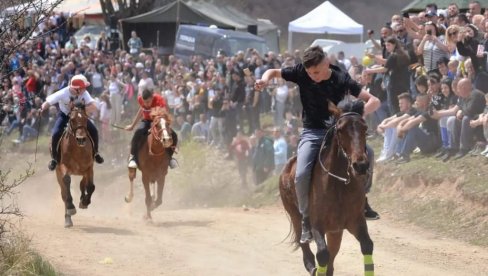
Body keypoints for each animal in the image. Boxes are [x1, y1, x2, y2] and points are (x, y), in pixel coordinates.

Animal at [278, 101, 374, 276]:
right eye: (341, 129)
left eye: (365, 127)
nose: (361, 165)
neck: (339, 184)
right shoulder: (317, 225)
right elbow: (322, 253)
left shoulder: (356, 222)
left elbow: (367, 245)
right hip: (294, 215)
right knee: (305, 245)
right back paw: (311, 265)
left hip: (335, 231)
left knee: (332, 254)